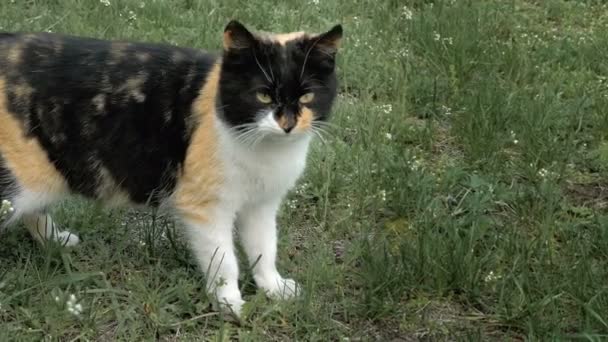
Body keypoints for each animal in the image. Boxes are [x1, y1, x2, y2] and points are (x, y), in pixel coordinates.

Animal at [0, 20, 342, 316]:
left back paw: (56, 241)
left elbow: (265, 248)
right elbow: (224, 260)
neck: (266, 152)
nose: (288, 123)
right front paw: (229, 303)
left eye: (307, 95)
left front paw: (274, 288)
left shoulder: (262, 204)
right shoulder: (206, 208)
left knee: (36, 210)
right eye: (263, 95)